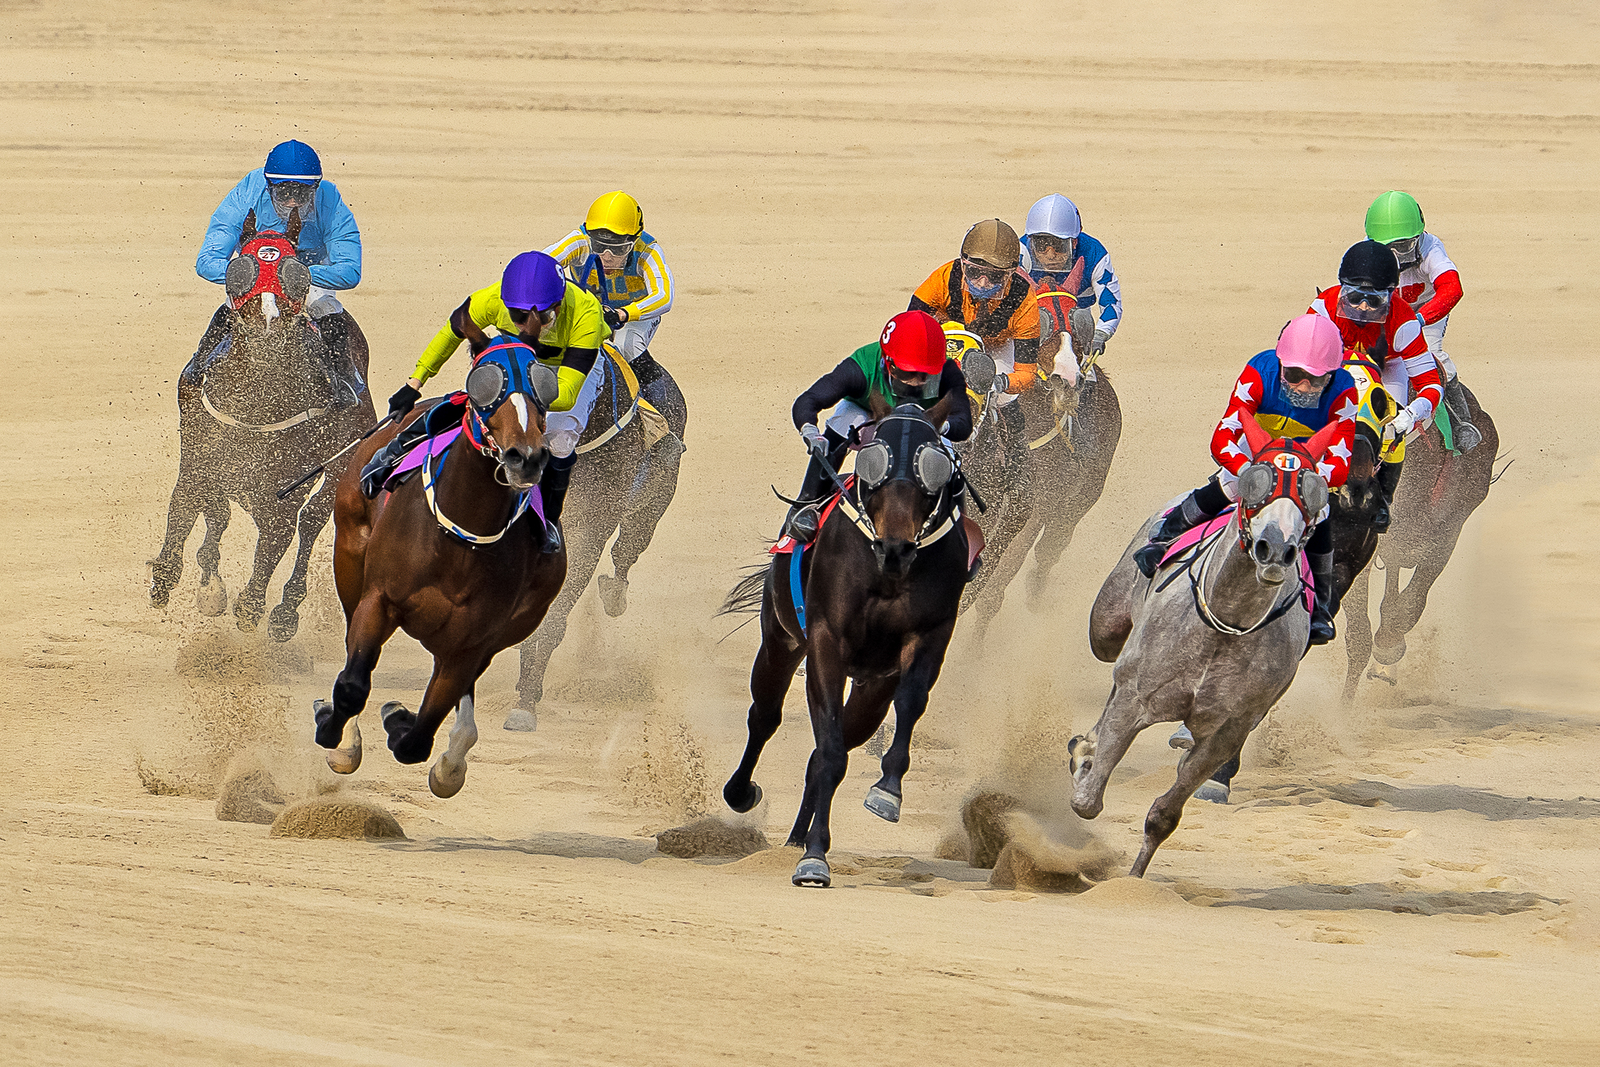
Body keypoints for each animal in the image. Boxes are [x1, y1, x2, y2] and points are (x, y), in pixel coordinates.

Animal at [149, 209, 376, 641]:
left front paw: (251, 605)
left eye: (296, 270)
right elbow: (190, 506)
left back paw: (285, 611)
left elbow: (276, 540)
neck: (255, 402)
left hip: (342, 463)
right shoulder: (203, 457)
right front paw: (179, 581)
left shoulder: (284, 491)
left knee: (312, 522)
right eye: (243, 267)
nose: (267, 323)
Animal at [313, 338, 566, 797]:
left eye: (545, 386)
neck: (459, 538)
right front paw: (334, 732)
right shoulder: (378, 599)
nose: (525, 457)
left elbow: (420, 733)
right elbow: (352, 685)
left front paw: (400, 719)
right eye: (483, 384)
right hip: (349, 560)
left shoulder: (472, 642)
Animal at [508, 351, 687, 726]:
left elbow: (555, 615)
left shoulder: (591, 530)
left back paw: (614, 595)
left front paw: (527, 701)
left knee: (625, 553)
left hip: (652, 505)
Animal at [719, 395, 971, 888]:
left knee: (824, 750)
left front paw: (886, 792)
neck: (886, 571)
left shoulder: (927, 636)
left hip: (870, 689)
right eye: (876, 460)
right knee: (766, 717)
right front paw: (815, 860)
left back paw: (798, 839)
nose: (896, 548)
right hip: (779, 638)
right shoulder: (825, 641)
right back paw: (744, 794)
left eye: (932, 468)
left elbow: (908, 703)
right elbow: (830, 750)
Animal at [1073, 416, 1343, 876]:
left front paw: (1134, 878)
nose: (1276, 548)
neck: (1226, 621)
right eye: (1257, 480)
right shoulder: (1134, 696)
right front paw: (1086, 761)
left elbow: (1166, 812)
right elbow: (1087, 801)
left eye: (1313, 490)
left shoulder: (1226, 730)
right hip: (1105, 628)